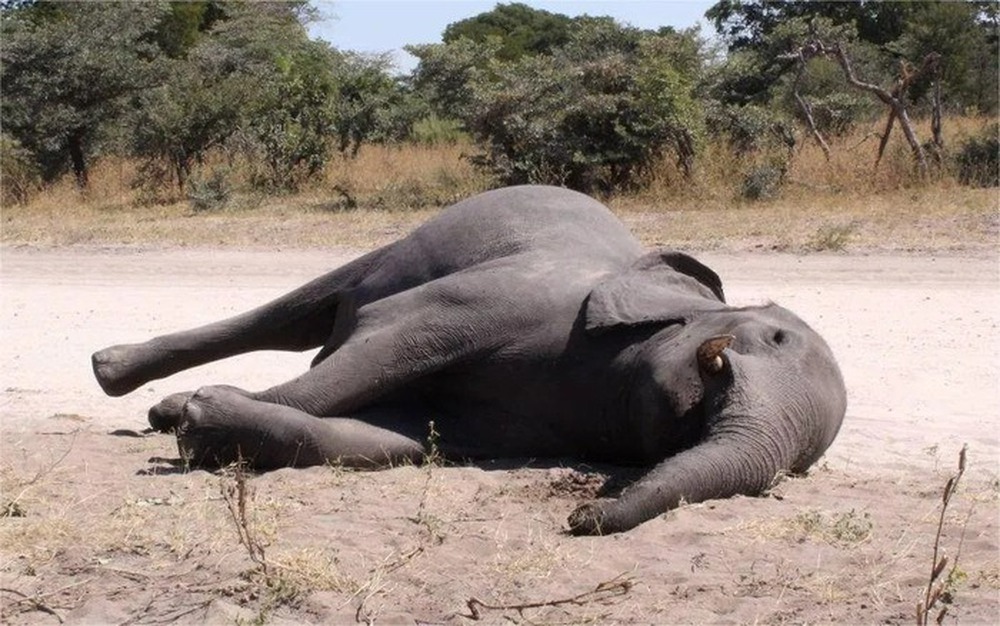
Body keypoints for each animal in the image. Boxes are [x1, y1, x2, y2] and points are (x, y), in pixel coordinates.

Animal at [92, 184, 844, 532]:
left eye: (799, 470)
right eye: (774, 339)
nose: (582, 516)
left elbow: (390, 440)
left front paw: (203, 422)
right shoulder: (514, 299)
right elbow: (383, 347)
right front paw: (192, 416)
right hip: (414, 241)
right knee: (297, 315)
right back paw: (117, 374)